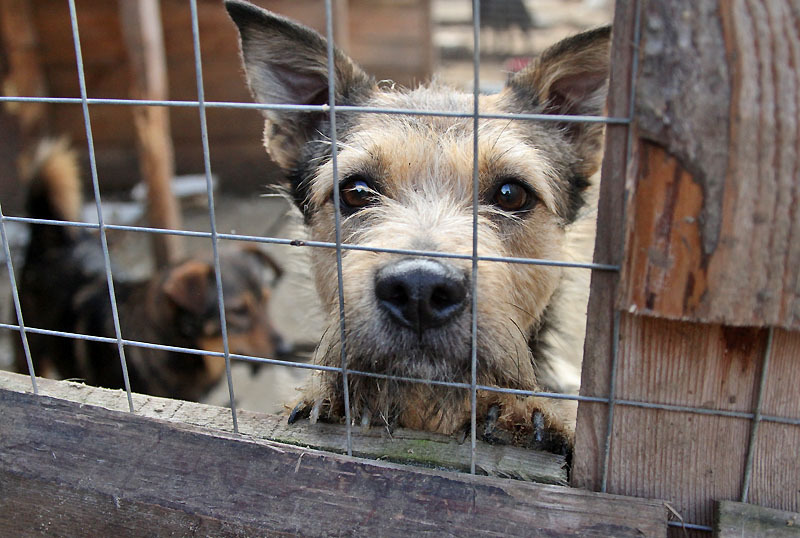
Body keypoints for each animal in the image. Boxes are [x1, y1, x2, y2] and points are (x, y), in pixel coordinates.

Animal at [14, 140, 288, 400]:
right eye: (238, 311)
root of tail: (55, 241)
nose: (285, 349)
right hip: (29, 351)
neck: (172, 345)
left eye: (266, 300)